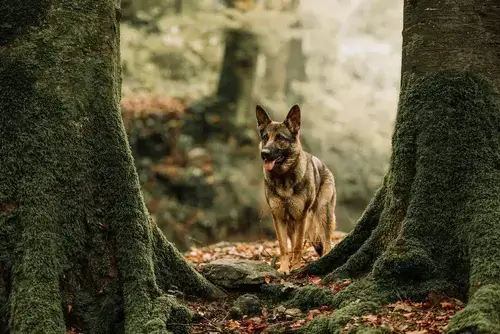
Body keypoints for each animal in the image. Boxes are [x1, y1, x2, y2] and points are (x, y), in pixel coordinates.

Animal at [258, 104, 336, 274]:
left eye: (280, 138)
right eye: (265, 137)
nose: (264, 154)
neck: (283, 177)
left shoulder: (301, 217)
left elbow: (298, 245)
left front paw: (296, 267)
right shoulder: (278, 217)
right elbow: (284, 246)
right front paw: (284, 268)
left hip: (322, 214)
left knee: (327, 242)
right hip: (291, 224)